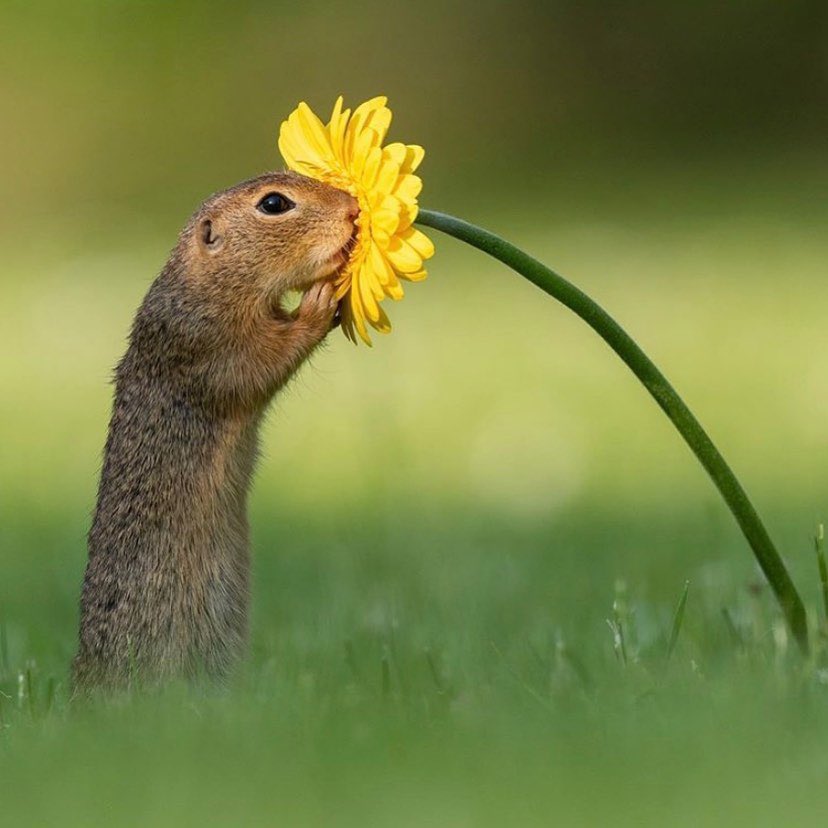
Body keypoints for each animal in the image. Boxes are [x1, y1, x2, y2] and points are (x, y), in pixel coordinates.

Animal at [73, 172, 358, 690]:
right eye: (274, 204)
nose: (352, 208)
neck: (206, 282)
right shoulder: (210, 344)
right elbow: (263, 360)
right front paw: (320, 301)